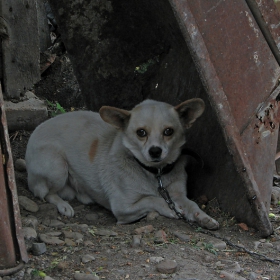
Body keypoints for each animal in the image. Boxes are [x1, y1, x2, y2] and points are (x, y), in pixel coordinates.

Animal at [25, 99, 219, 230]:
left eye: (168, 131)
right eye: (141, 132)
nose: (155, 151)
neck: (156, 174)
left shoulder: (177, 194)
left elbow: (191, 204)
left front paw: (203, 217)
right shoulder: (123, 208)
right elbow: (151, 199)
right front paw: (168, 208)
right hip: (57, 167)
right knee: (46, 193)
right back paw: (63, 205)